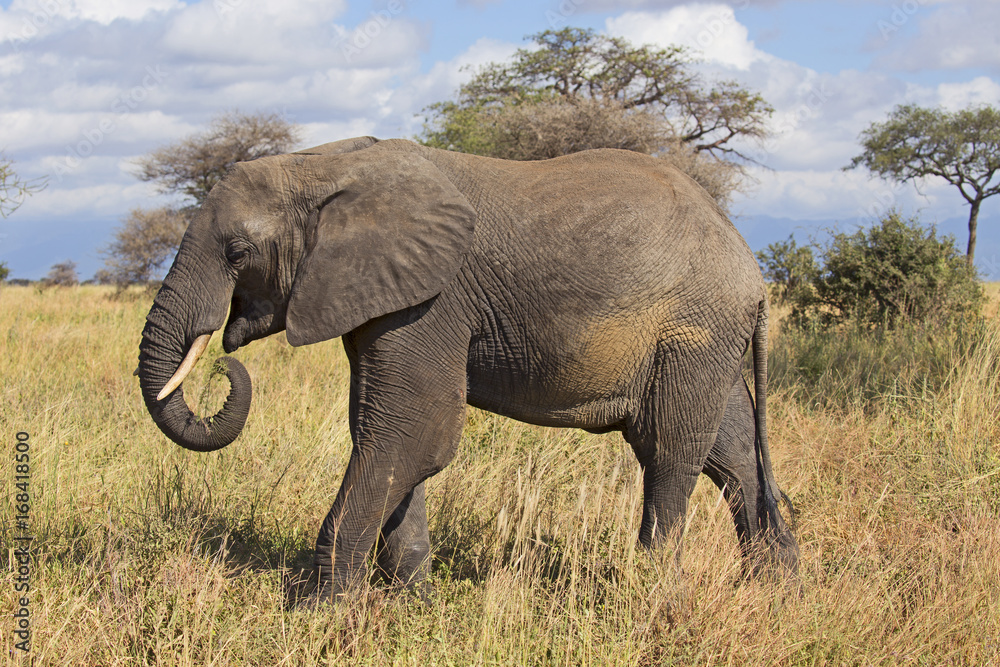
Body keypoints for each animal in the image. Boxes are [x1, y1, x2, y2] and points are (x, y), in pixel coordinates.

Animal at [136, 136, 798, 599]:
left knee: (669, 452)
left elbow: (411, 435)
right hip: (705, 339)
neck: (325, 164)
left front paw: (318, 615)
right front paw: (410, 606)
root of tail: (754, 271)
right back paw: (778, 590)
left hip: (693, 330)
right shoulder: (383, 296)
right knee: (733, 452)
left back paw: (654, 596)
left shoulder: (434, 299)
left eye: (238, 253)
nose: (224, 367)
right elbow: (391, 438)